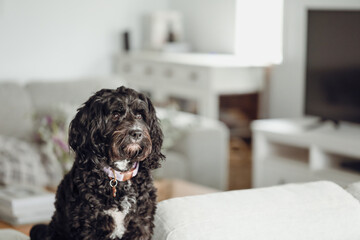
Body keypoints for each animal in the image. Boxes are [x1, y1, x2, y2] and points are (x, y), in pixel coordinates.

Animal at [30, 86, 164, 240]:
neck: (119, 176)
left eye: (140, 115)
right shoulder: (88, 226)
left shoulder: (141, 224)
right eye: (115, 115)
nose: (136, 133)